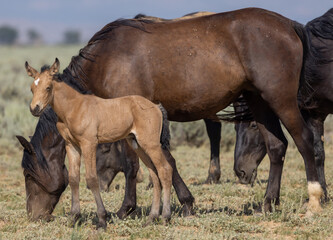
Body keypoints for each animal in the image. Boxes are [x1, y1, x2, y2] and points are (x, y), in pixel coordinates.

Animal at [20, 7, 322, 219]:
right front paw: (186, 203)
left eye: (28, 175)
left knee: (306, 142)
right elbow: (167, 162)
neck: (107, 61)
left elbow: (135, 166)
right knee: (276, 147)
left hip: (281, 101)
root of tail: (290, 25)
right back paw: (268, 203)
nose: (34, 215)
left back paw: (314, 201)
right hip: (259, 102)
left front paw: (126, 209)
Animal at [232, 7, 332, 202]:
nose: (240, 172)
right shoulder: (314, 113)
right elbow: (318, 154)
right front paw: (323, 195)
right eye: (235, 128)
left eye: (254, 125)